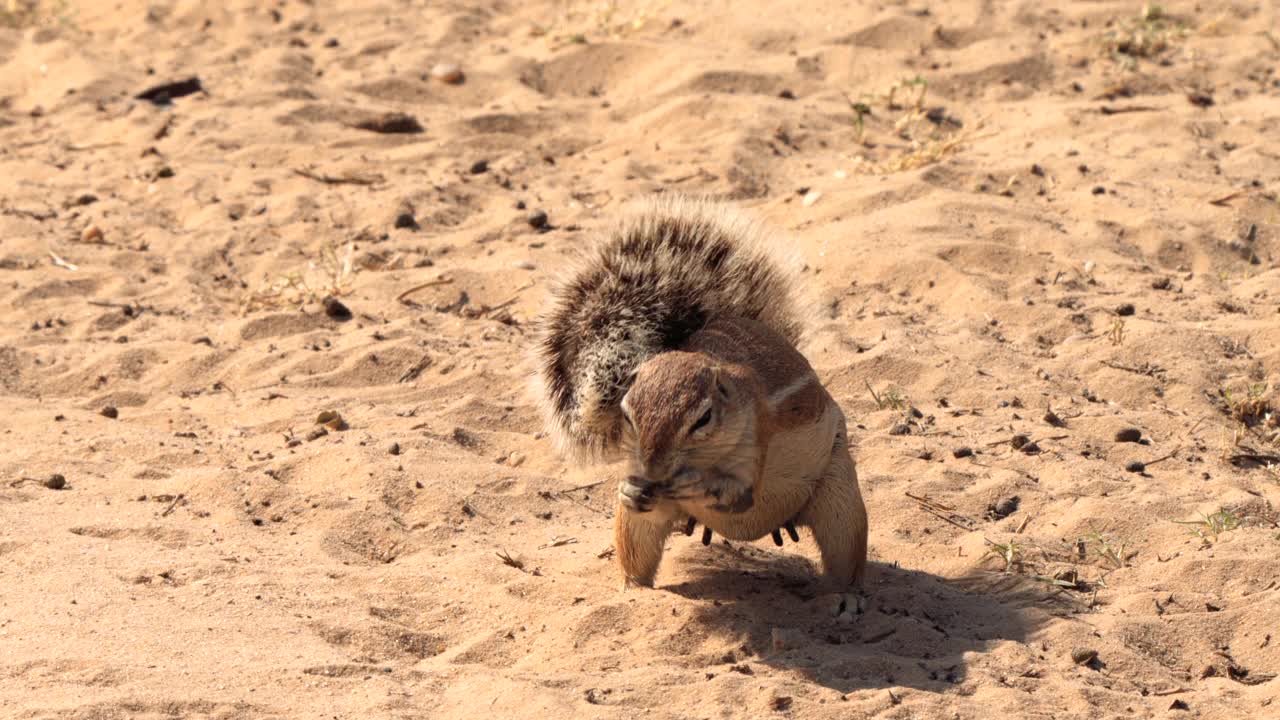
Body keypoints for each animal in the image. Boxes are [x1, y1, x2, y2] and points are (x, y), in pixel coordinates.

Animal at [529, 192, 870, 589]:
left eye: (704, 418)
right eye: (627, 415)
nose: (652, 469)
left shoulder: (756, 443)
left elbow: (737, 493)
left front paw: (699, 484)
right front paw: (630, 489)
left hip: (839, 501)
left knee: (845, 559)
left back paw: (845, 596)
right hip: (636, 529)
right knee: (637, 554)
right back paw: (633, 590)